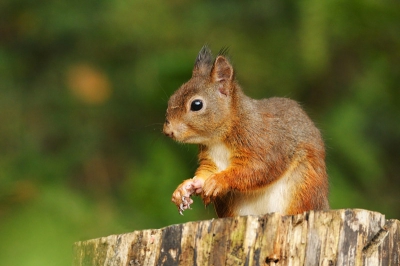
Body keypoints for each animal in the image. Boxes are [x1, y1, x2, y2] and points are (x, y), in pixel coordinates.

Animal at [162, 45, 328, 216]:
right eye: (172, 98)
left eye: (196, 105)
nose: (168, 131)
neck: (219, 138)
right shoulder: (211, 157)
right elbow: (206, 172)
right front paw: (186, 188)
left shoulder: (262, 141)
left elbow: (257, 169)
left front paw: (218, 181)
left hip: (303, 185)